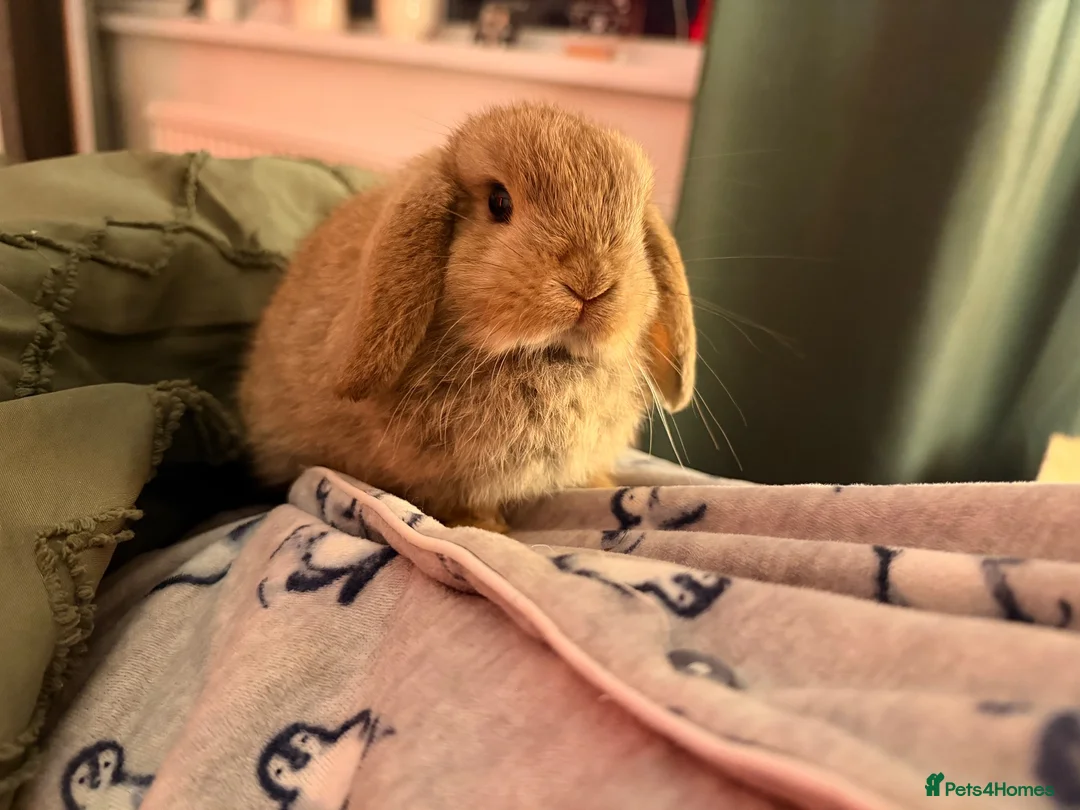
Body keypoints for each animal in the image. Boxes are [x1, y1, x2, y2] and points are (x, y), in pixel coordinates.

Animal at [237, 102, 696, 533]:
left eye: (635, 224)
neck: (546, 357)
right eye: (499, 202)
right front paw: (489, 528)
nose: (590, 283)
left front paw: (602, 485)